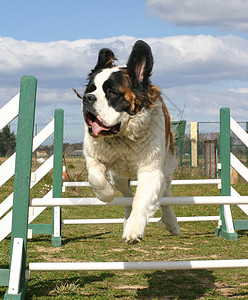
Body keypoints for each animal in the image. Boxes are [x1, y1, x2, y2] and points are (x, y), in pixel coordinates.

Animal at [73, 39, 180, 244]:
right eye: (90, 90)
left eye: (111, 92)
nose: (87, 98)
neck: (122, 136)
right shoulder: (93, 156)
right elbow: (96, 178)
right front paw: (106, 195)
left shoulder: (150, 172)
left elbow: (142, 200)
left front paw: (133, 230)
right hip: (119, 176)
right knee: (127, 195)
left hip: (167, 166)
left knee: (165, 193)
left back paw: (171, 222)